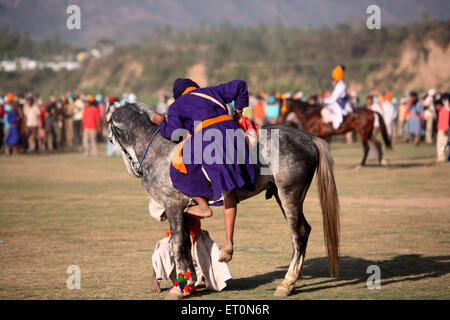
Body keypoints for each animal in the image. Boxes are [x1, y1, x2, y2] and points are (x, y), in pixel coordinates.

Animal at [105, 101, 340, 298]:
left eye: (110, 139)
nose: (135, 170)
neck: (160, 150)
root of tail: (308, 138)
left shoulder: (173, 206)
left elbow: (178, 244)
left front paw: (179, 289)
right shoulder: (182, 211)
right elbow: (184, 244)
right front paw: (189, 282)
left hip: (289, 194)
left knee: (297, 235)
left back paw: (286, 283)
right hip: (283, 197)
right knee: (305, 230)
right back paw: (293, 279)